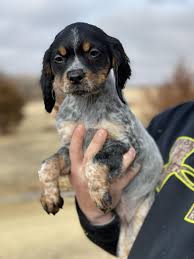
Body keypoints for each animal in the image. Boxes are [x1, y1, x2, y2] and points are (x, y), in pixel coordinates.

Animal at [37, 23, 162, 258]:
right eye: (58, 59)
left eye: (94, 53)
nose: (75, 75)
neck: (87, 107)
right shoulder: (69, 147)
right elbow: (47, 164)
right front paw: (49, 196)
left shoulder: (126, 145)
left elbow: (94, 163)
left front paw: (99, 193)